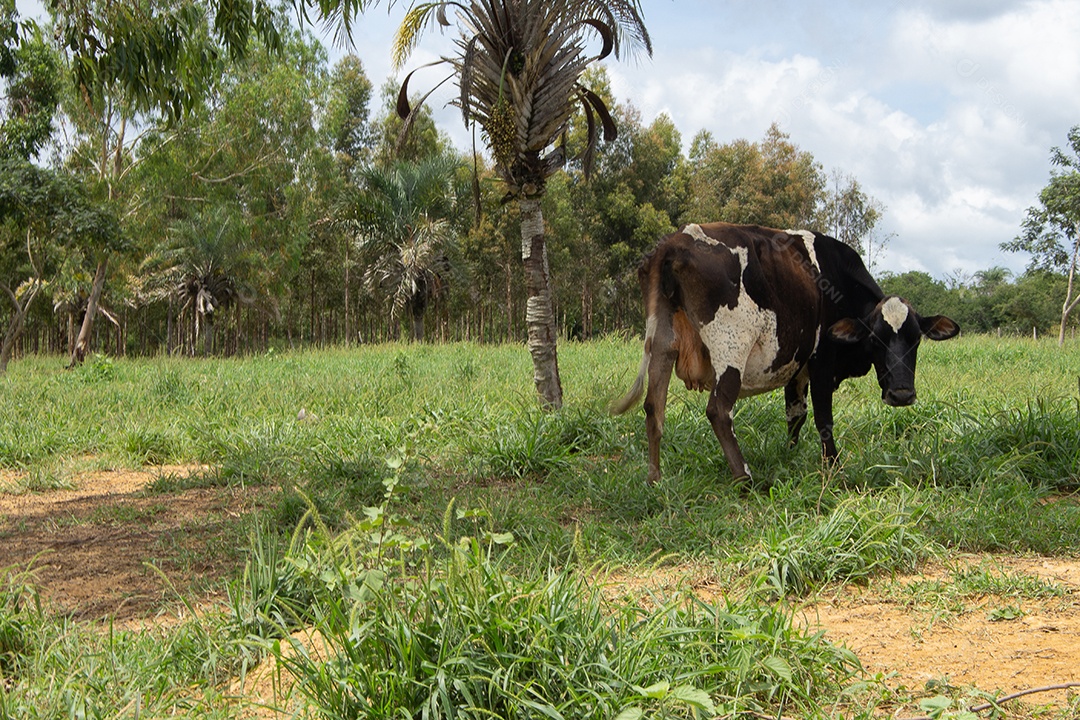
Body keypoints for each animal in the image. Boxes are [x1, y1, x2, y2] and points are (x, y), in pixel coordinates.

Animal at [613, 221, 959, 483]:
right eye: (876, 339)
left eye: (916, 339)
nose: (901, 394)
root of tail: (675, 241)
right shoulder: (821, 363)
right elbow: (823, 419)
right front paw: (833, 467)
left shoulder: (797, 370)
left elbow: (796, 416)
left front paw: (790, 455)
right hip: (731, 348)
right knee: (718, 410)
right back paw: (745, 478)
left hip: (662, 343)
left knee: (653, 408)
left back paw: (655, 480)